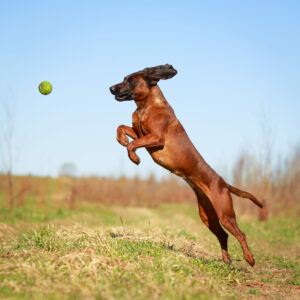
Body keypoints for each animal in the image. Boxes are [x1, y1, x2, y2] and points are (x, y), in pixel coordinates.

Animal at [109, 64, 262, 266]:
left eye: (131, 80)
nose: (111, 88)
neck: (146, 107)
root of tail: (223, 183)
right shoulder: (139, 132)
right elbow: (121, 127)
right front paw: (121, 139)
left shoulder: (156, 138)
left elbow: (132, 144)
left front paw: (134, 158)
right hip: (207, 215)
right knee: (223, 235)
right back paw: (226, 260)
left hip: (225, 213)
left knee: (240, 234)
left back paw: (249, 258)